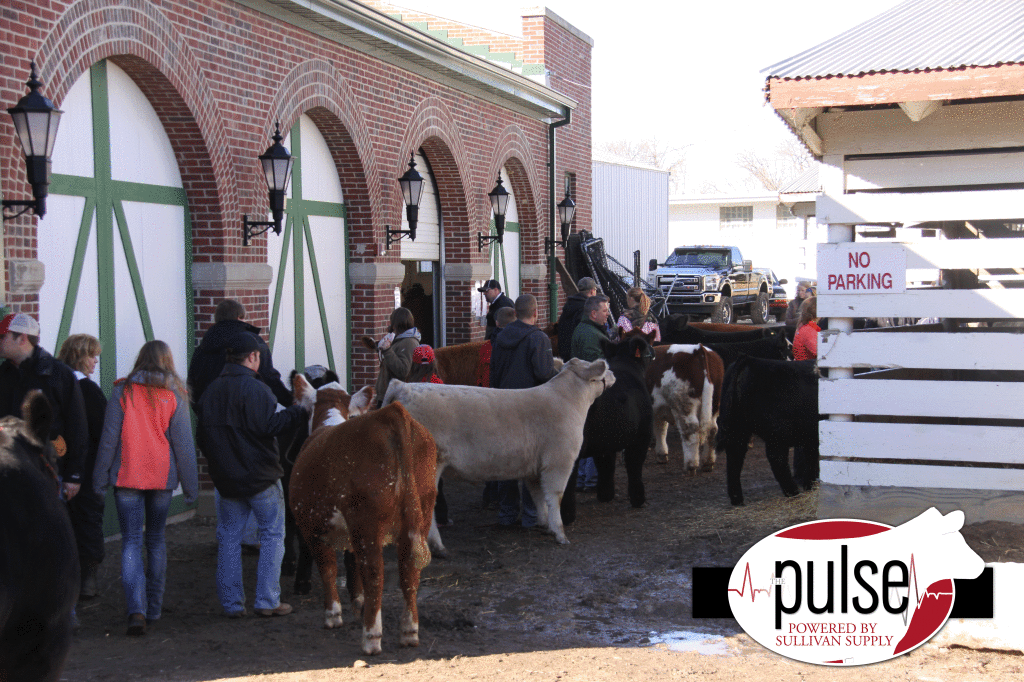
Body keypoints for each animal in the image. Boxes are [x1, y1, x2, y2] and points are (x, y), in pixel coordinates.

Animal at [286, 378, 438, 651]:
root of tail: (391, 414)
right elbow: (351, 564)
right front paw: (358, 604)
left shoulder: (312, 528)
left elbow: (329, 569)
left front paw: (333, 615)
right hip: (422, 511)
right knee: (409, 571)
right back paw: (409, 631)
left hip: (366, 521)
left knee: (374, 572)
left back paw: (371, 636)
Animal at [565, 333, 651, 516]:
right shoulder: (642, 436)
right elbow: (635, 465)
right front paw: (638, 499)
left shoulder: (605, 441)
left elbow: (606, 465)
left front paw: (605, 495)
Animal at [643, 342, 724, 471]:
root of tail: (698, 349)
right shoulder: (659, 408)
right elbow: (661, 428)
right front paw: (662, 454)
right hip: (714, 404)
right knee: (712, 429)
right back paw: (708, 462)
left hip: (683, 404)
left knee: (690, 429)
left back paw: (691, 465)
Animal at [716, 356, 819, 503]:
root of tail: (750, 360)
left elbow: (811, 457)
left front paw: (811, 485)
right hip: (778, 432)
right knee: (776, 458)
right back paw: (792, 491)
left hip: (738, 428)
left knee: (734, 457)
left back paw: (737, 499)